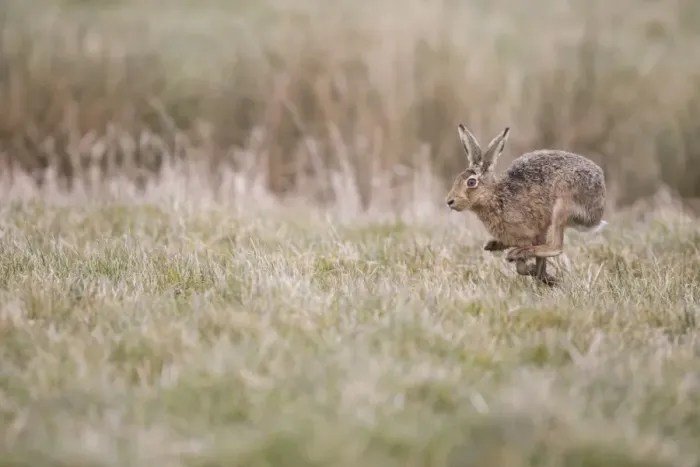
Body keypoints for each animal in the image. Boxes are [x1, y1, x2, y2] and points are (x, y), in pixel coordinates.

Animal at [445, 123, 607, 286]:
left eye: (471, 182)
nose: (449, 201)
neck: (495, 197)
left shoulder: (534, 232)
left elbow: (527, 264)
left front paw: (543, 275)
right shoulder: (534, 235)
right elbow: (525, 266)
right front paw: (542, 275)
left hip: (563, 203)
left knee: (556, 246)